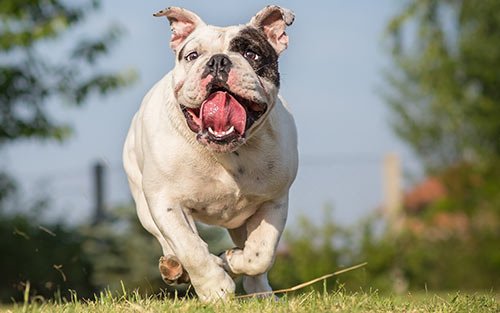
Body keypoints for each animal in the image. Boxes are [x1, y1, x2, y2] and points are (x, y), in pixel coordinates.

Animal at [122, 6, 296, 302]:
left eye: (251, 54)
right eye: (192, 56)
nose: (217, 61)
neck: (227, 152)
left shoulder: (274, 201)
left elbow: (260, 254)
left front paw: (231, 260)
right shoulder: (166, 202)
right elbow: (190, 248)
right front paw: (215, 288)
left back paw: (261, 293)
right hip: (144, 206)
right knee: (170, 242)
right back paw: (174, 266)